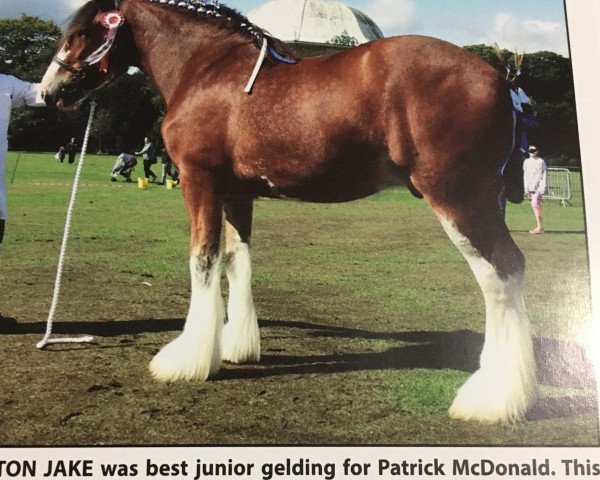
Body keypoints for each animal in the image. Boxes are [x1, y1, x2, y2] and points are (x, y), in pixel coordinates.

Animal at [38, 0, 536, 424]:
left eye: (83, 31)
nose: (48, 92)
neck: (206, 70)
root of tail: (501, 79)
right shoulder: (237, 195)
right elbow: (237, 261)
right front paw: (236, 346)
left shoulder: (200, 182)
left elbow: (203, 260)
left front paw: (186, 360)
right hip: (484, 200)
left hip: (457, 198)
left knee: (499, 272)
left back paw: (491, 399)